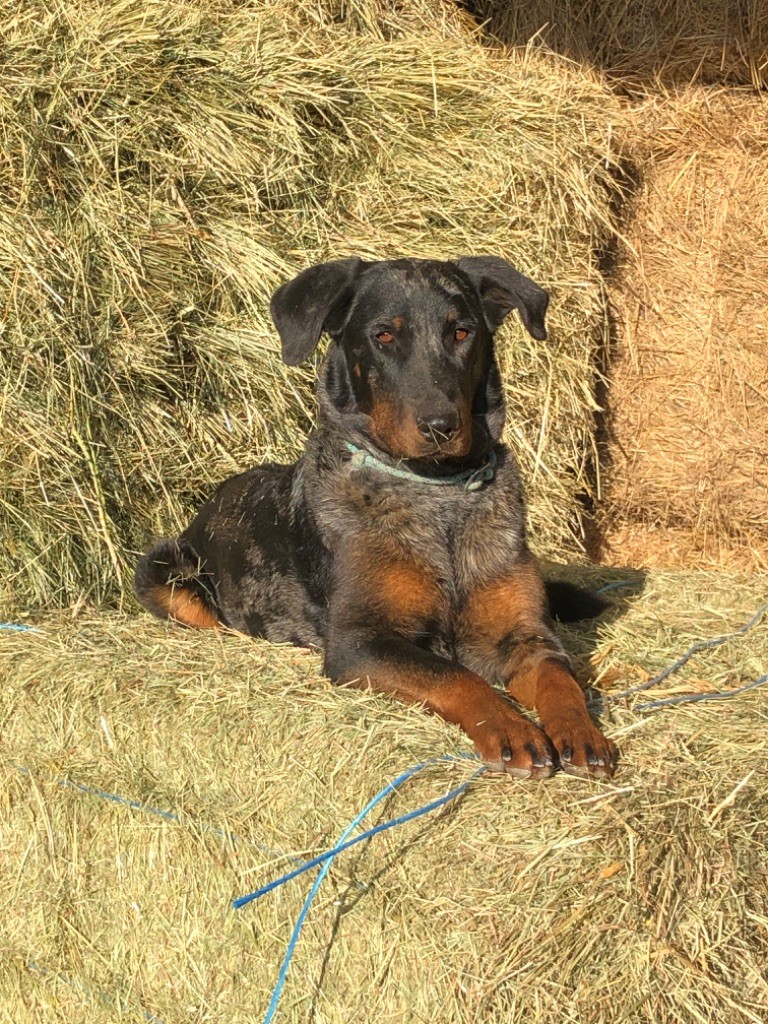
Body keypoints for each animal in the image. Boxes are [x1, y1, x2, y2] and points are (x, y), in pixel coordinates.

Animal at [137, 253, 618, 774]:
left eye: (462, 332)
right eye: (384, 335)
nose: (440, 426)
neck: (437, 491)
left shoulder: (528, 636)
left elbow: (559, 679)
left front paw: (582, 732)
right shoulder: (360, 642)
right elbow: (453, 675)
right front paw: (513, 729)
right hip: (161, 569)